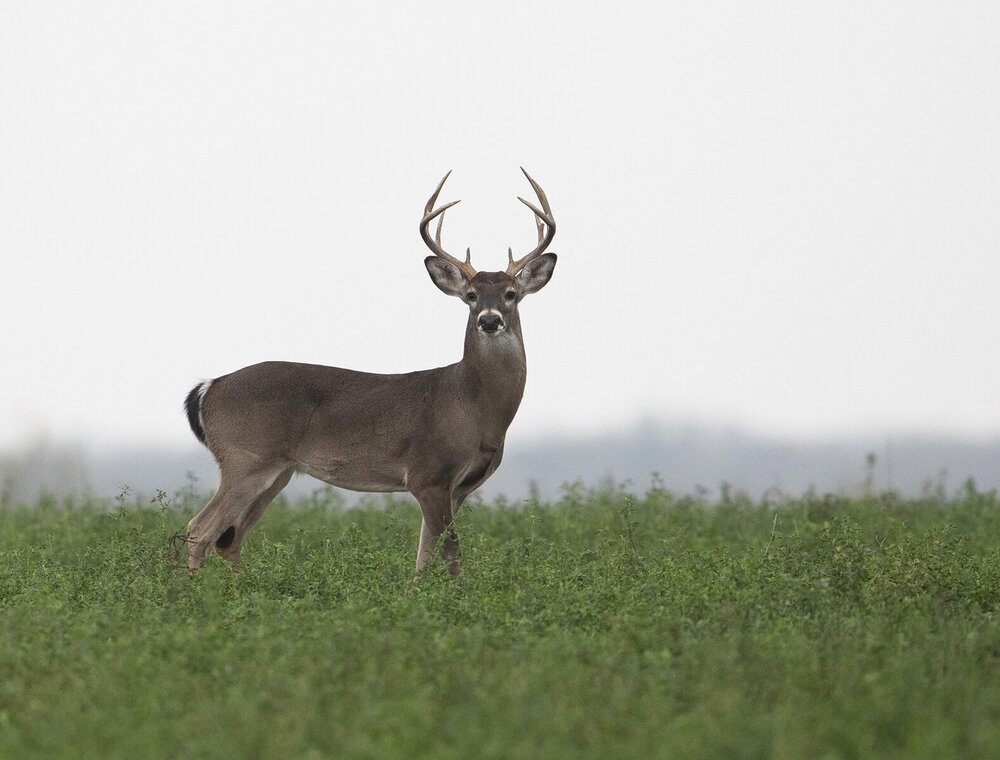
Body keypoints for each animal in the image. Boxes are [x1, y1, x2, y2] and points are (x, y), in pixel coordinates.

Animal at [182, 169, 557, 576]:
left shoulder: (457, 487)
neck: (475, 407)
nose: (489, 320)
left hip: (276, 471)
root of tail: (209, 387)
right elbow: (451, 557)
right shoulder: (428, 473)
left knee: (229, 540)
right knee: (200, 529)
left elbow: (424, 558)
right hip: (245, 458)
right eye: (471, 295)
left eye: (510, 294)